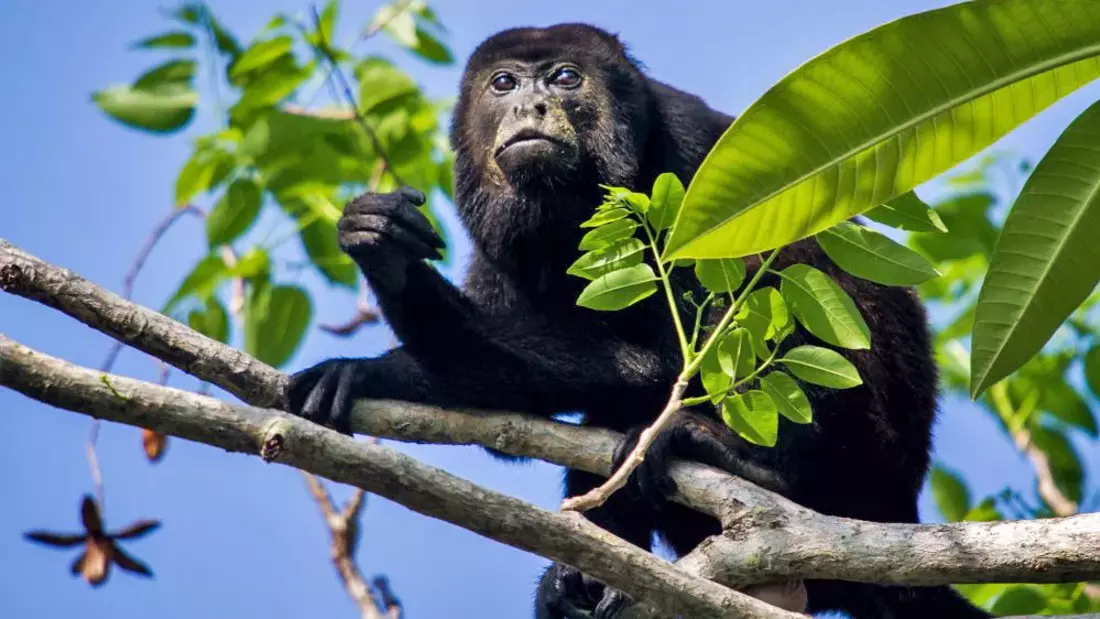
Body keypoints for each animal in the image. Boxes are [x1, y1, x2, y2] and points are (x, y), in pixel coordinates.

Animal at [286, 22, 998, 619]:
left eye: (565, 78)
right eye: (504, 83)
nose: (530, 107)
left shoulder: (691, 162)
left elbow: (671, 352)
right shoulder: (490, 241)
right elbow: (495, 404)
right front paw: (379, 311)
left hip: (870, 463)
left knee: (795, 269)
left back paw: (761, 468)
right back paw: (581, 583)